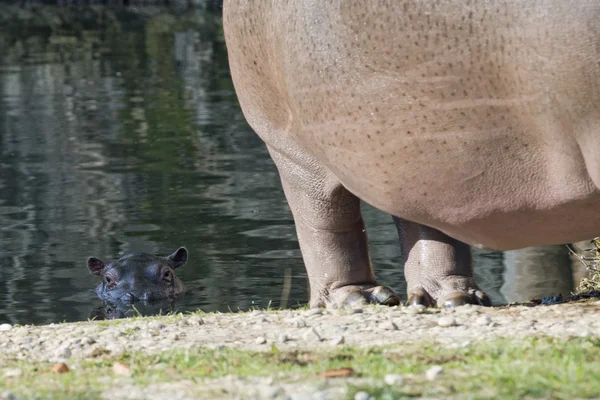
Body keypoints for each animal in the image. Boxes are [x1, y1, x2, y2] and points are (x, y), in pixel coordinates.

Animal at [223, 0, 600, 308]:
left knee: (426, 219)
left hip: (420, 155)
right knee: (325, 218)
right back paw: (357, 299)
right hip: (292, 146)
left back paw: (454, 299)